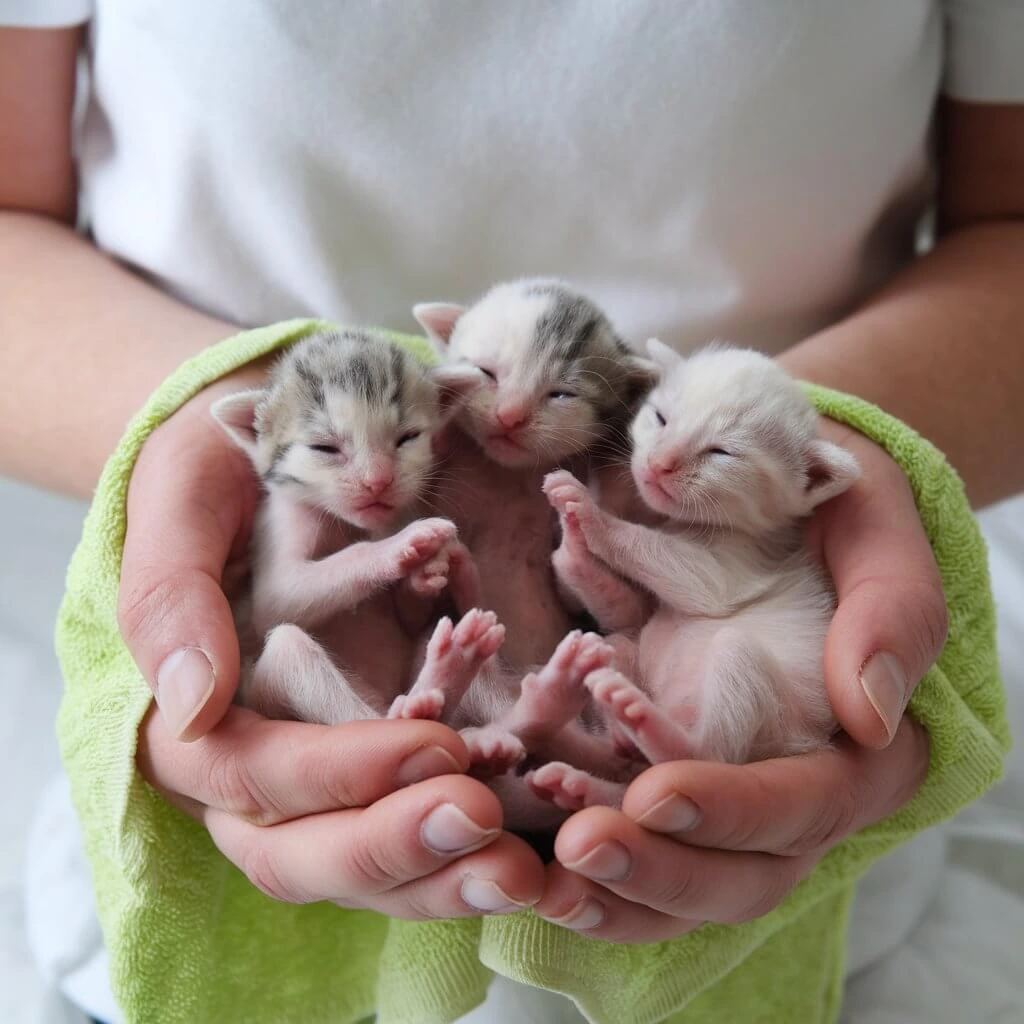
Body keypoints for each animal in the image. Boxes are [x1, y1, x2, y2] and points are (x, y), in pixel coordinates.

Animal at [209, 329, 501, 729]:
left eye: (408, 437)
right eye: (324, 447)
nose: (377, 481)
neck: (353, 525)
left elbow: (412, 622)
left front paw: (426, 573)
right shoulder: (279, 524)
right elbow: (278, 599)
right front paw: (402, 546)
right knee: (296, 654)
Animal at [407, 280, 655, 823]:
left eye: (562, 393)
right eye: (485, 372)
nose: (509, 416)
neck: (512, 474)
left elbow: (577, 592)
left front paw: (580, 530)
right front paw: (427, 565)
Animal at [540, 342, 860, 806]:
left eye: (722, 452)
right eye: (660, 417)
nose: (658, 464)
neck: (679, 522)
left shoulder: (741, 561)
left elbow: (684, 570)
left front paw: (590, 516)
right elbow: (623, 610)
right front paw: (574, 545)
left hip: (758, 696)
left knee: (705, 754)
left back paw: (642, 722)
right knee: (620, 652)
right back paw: (595, 766)